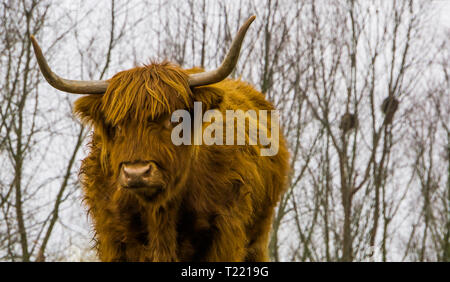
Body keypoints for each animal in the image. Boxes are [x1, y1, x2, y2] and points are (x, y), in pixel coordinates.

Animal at [30, 16, 288, 262]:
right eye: (116, 126)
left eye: (174, 121)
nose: (136, 173)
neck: (160, 212)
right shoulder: (112, 236)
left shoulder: (225, 233)